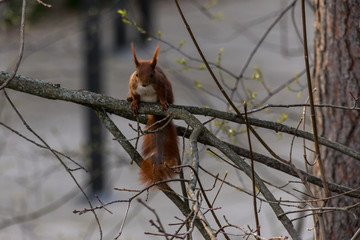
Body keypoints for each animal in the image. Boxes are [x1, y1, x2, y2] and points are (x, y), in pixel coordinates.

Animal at [128, 43, 181, 188]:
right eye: (137, 74)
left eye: (152, 75)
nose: (144, 83)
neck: (145, 89)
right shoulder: (132, 86)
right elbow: (135, 96)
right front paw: (134, 102)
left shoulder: (161, 85)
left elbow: (162, 96)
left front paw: (163, 103)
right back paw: (129, 99)